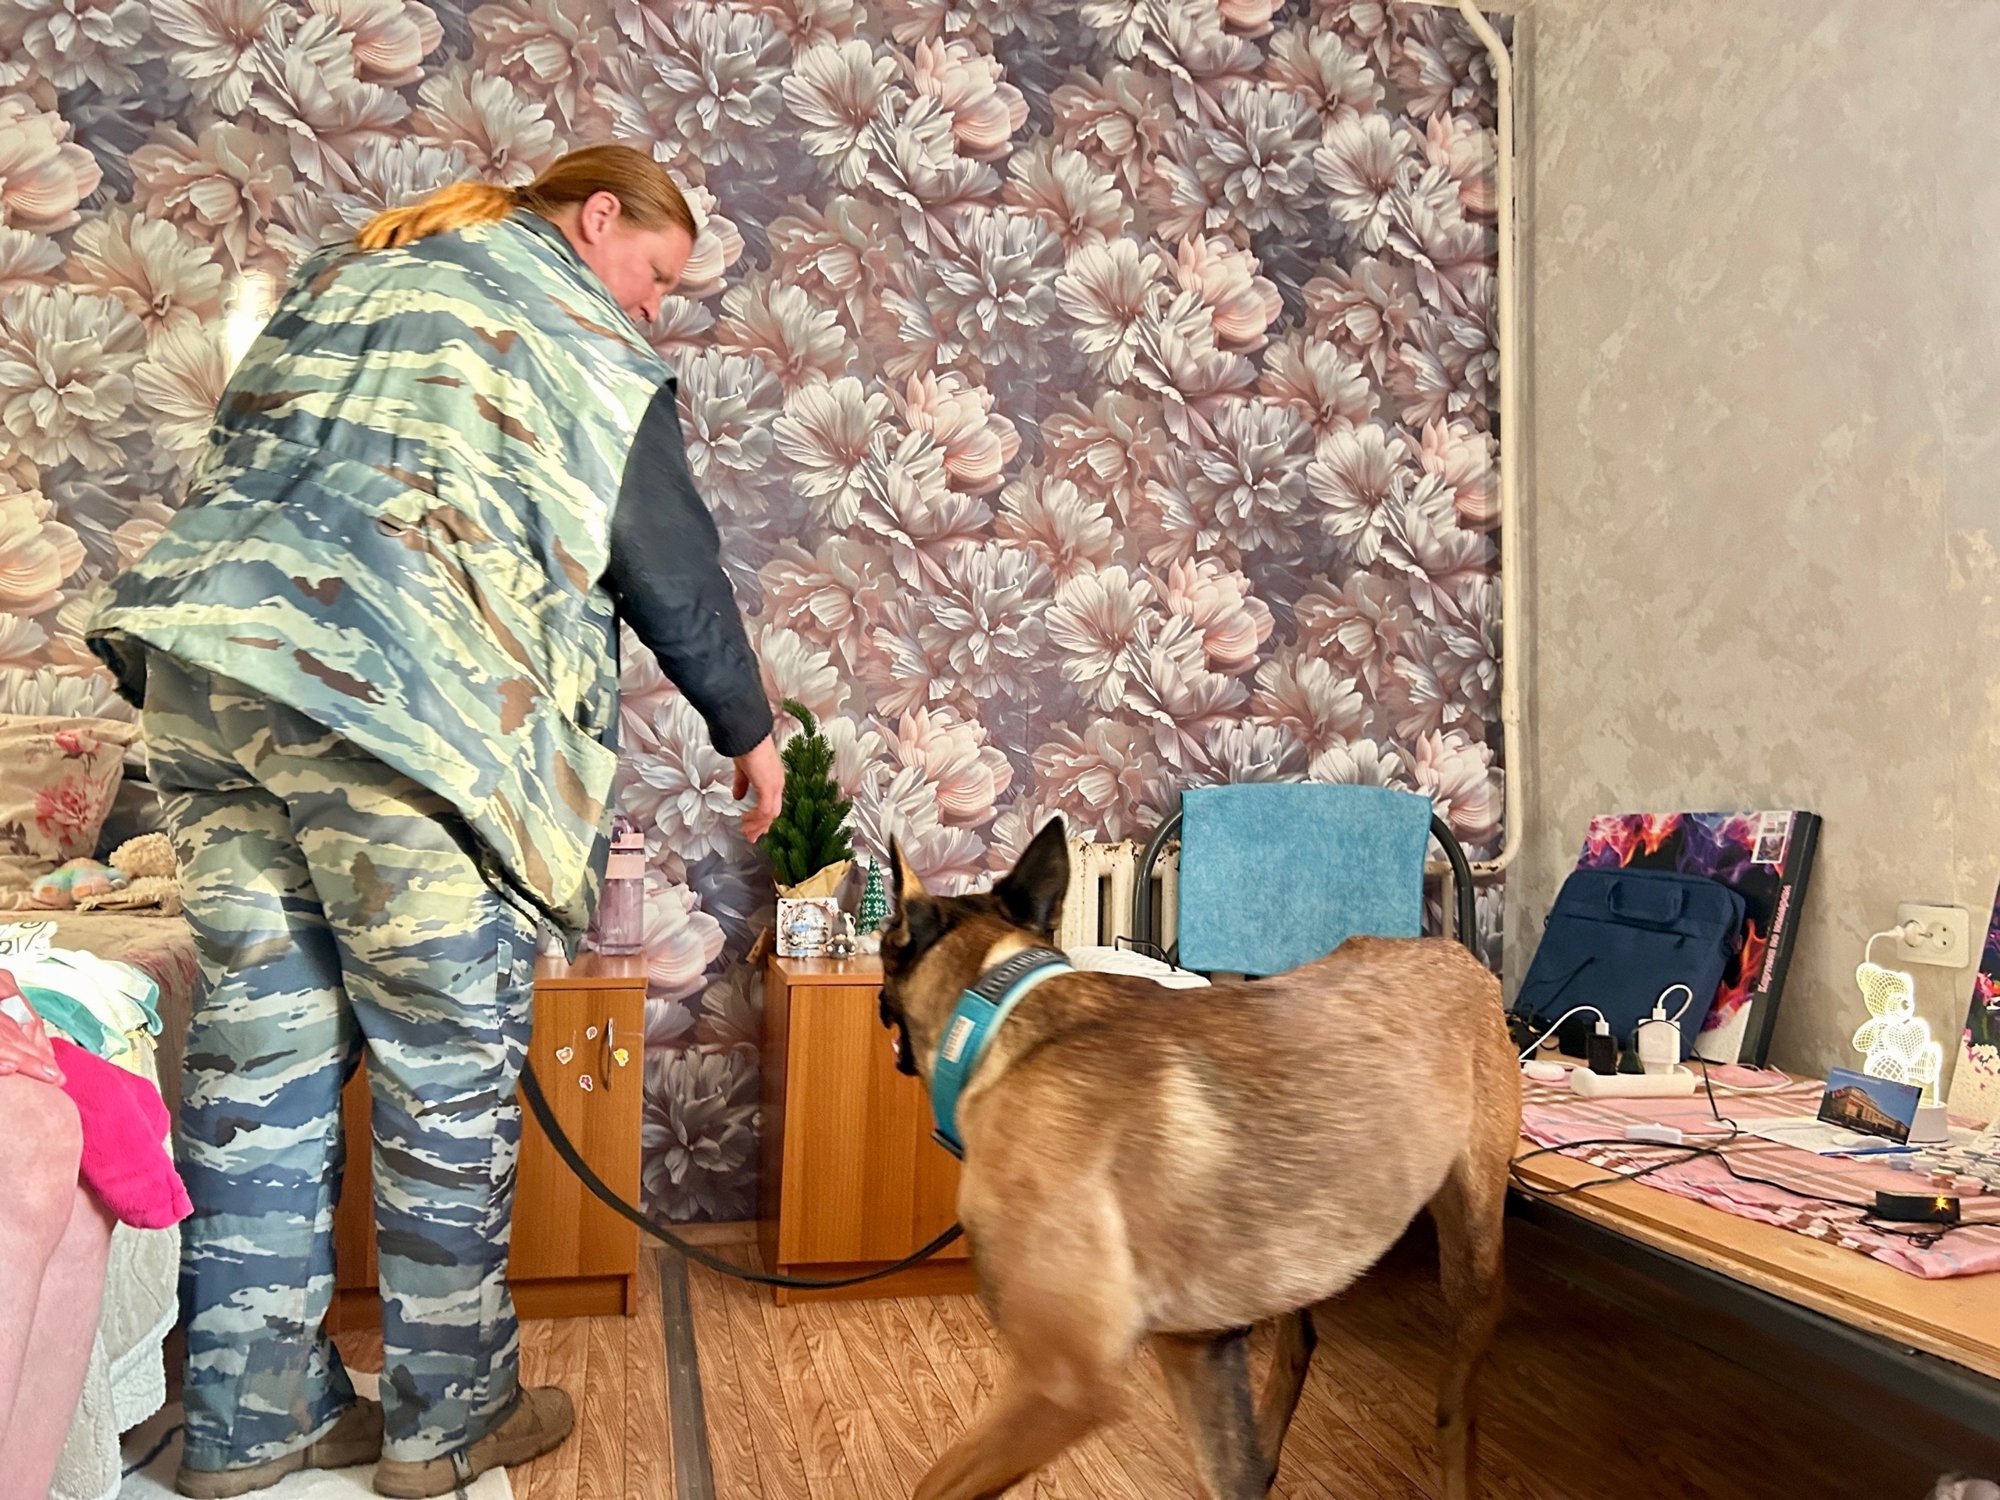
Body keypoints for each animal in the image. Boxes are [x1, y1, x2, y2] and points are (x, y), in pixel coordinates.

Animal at [878, 816, 1521, 1500]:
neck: (1001, 1013)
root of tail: (1458, 954)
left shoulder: (1062, 1383)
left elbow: (934, 1486)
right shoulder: (1197, 1349)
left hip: (1471, 1258)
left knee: (1456, 1406)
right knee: (1298, 1347)